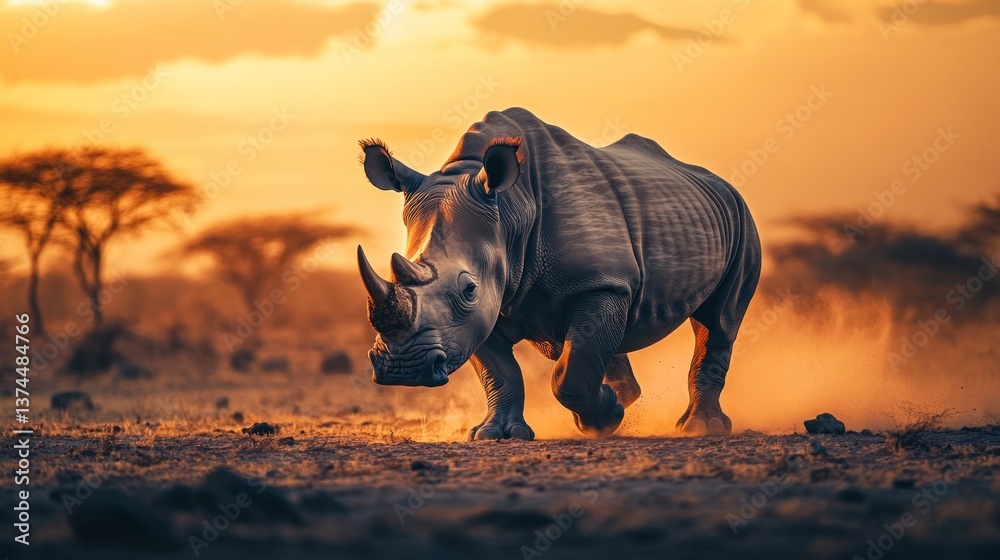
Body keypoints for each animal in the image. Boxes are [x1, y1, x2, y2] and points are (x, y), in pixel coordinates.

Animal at [356, 107, 760, 439]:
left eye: (469, 289)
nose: (403, 369)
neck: (511, 209)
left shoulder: (597, 284)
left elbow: (570, 374)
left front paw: (602, 419)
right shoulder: (484, 307)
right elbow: (501, 370)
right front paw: (496, 435)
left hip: (740, 216)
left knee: (719, 321)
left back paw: (699, 428)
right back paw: (626, 395)